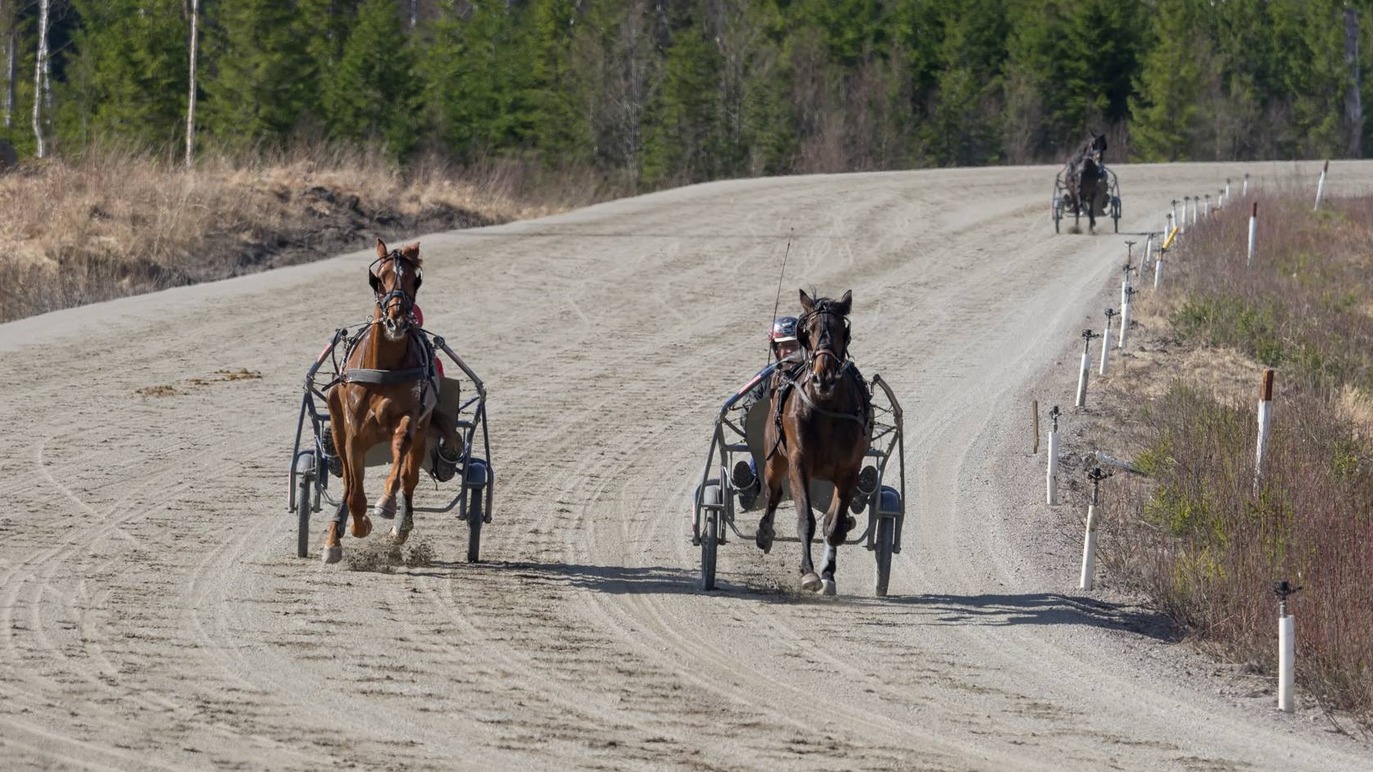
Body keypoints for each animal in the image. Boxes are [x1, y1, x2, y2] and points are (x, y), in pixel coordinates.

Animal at [317, 237, 455, 563]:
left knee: (409, 477)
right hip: (338, 428)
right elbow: (354, 490)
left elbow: (400, 450)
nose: (396, 322)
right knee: (348, 480)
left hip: (422, 433)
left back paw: (401, 524)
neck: (384, 367)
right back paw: (335, 535)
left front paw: (386, 504)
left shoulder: (412, 417)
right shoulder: (354, 433)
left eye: (415, 279)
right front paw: (357, 526)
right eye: (379, 278)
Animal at [757, 285, 873, 590]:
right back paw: (764, 532)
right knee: (772, 493)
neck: (826, 407)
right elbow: (805, 519)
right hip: (774, 458)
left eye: (841, 329)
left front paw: (828, 573)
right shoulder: (799, 464)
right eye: (807, 330)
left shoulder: (849, 471)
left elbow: (833, 525)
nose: (824, 377)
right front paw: (808, 572)